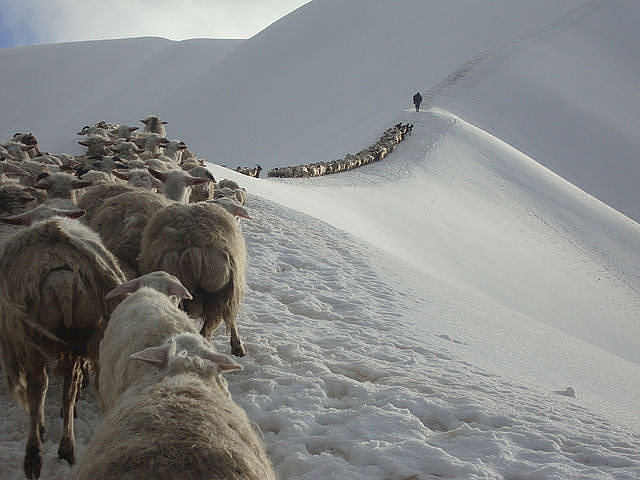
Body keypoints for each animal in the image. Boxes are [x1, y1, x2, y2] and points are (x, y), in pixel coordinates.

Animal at [0, 213, 126, 476]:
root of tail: (62, 281)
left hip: (34, 341)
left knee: (39, 389)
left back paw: (36, 454)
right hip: (83, 334)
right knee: (70, 389)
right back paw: (66, 448)